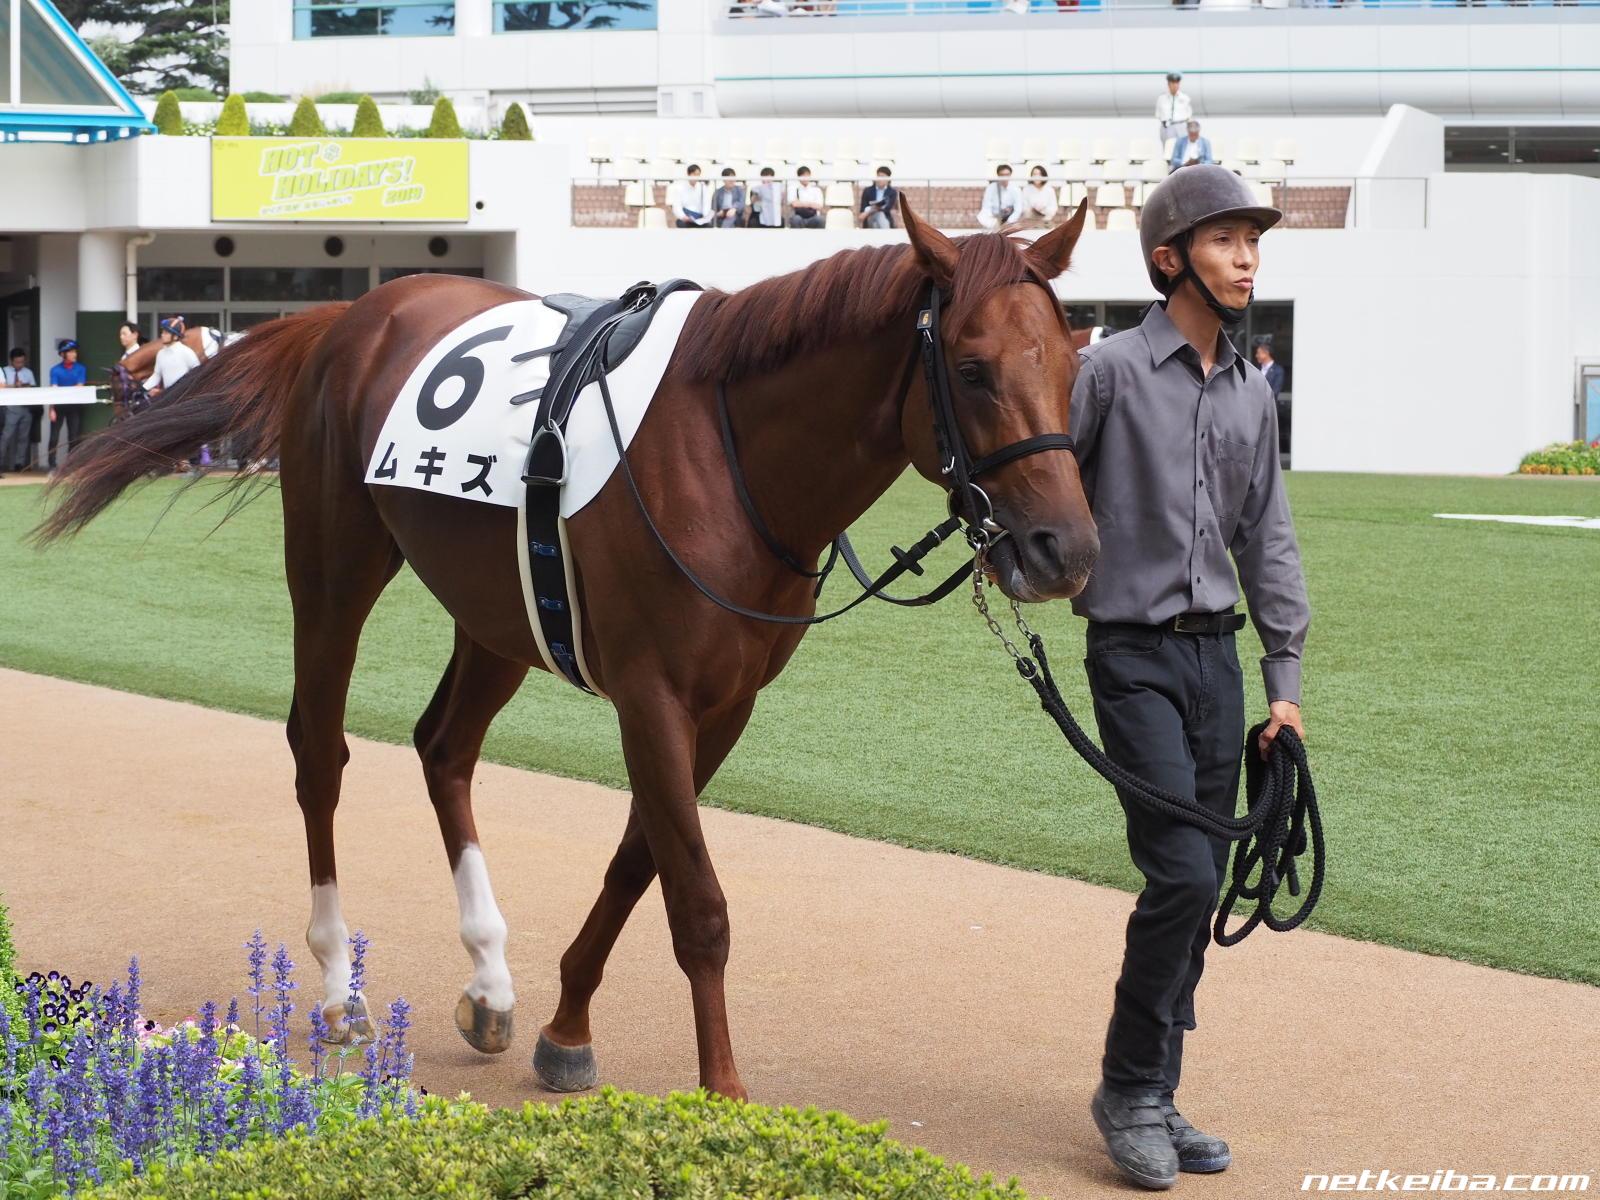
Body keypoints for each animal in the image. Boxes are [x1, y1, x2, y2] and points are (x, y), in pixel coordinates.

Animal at [37, 196, 1098, 1101]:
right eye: (971, 369)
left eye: (1073, 365)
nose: (1068, 551)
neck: (730, 453)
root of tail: (351, 312)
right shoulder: (652, 692)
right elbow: (697, 902)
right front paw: (725, 1096)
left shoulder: (725, 703)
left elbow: (639, 863)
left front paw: (566, 1028)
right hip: (334, 570)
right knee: (320, 752)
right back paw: (339, 989)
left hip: (497, 609)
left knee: (444, 747)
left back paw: (490, 982)